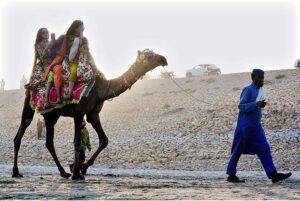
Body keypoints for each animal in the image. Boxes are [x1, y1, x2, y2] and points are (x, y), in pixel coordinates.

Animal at [12, 49, 166, 181]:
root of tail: (32, 83)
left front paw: (83, 167)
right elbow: (77, 142)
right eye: (149, 56)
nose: (163, 59)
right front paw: (77, 174)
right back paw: (16, 172)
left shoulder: (93, 114)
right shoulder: (79, 112)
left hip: (51, 115)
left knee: (49, 142)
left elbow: (104, 140)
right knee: (20, 134)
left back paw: (63, 172)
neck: (100, 90)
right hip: (29, 105)